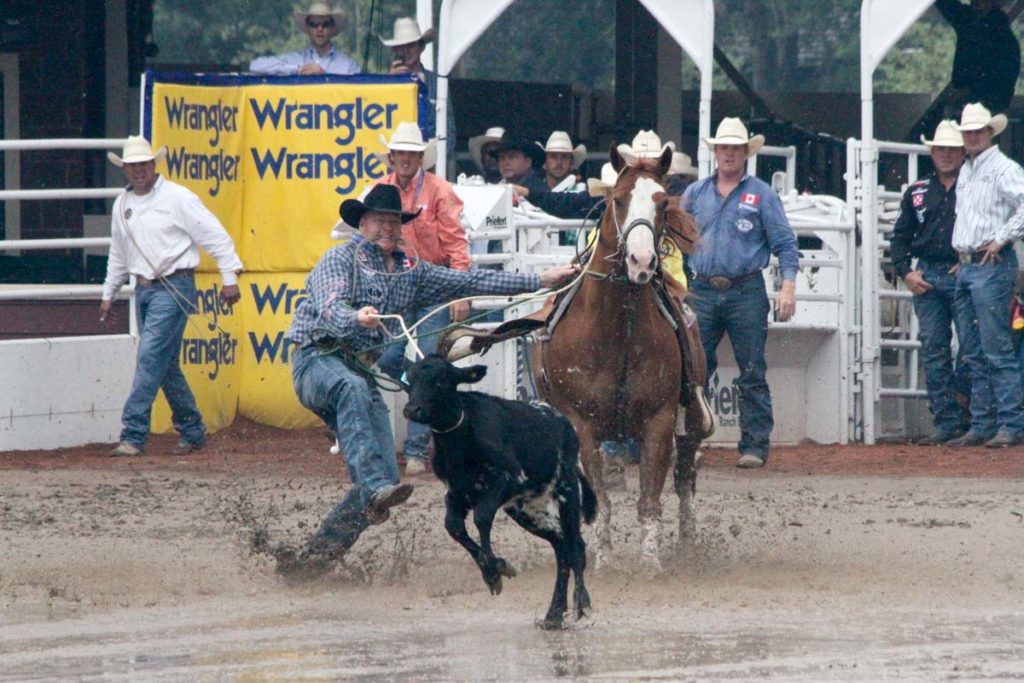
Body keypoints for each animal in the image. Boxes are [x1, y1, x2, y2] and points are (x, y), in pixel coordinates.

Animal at [536, 145, 696, 573]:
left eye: (662, 202)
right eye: (618, 200)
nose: (642, 262)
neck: (616, 335)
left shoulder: (659, 421)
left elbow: (650, 499)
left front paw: (651, 560)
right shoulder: (582, 426)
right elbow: (602, 502)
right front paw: (602, 559)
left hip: (689, 425)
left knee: (686, 479)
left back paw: (690, 542)